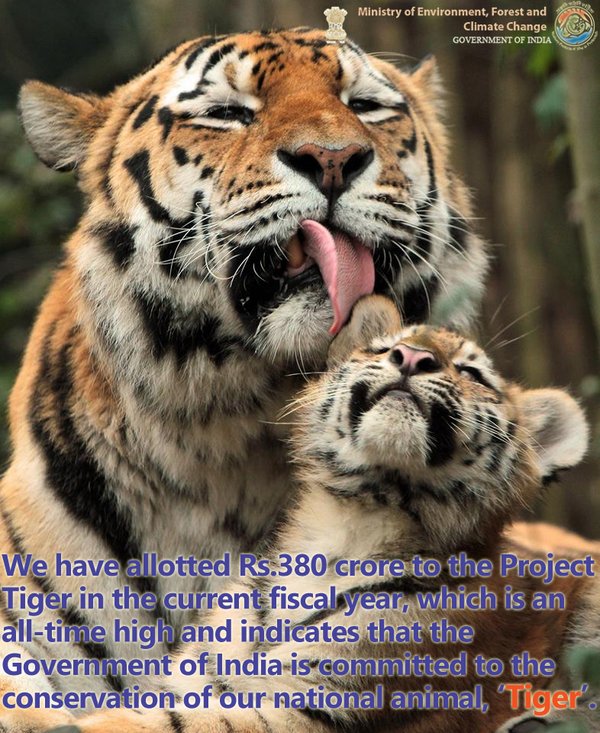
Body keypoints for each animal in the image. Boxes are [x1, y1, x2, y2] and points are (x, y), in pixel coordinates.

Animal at [52, 296, 598, 733]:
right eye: (384, 349)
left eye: (471, 373)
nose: (412, 357)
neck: (351, 524)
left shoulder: (307, 707)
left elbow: (167, 723)